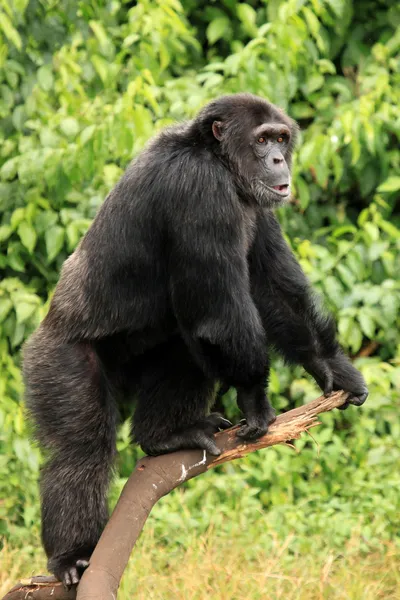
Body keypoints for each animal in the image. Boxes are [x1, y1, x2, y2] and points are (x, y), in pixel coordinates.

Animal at [23, 94, 368, 584]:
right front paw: (254, 399)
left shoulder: (258, 209)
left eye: (281, 138)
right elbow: (221, 314)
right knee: (80, 449)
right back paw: (71, 555)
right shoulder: (200, 192)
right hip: (58, 360)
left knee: (185, 351)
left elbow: (272, 288)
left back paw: (165, 436)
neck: (220, 162)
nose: (278, 159)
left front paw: (331, 367)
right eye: (262, 140)